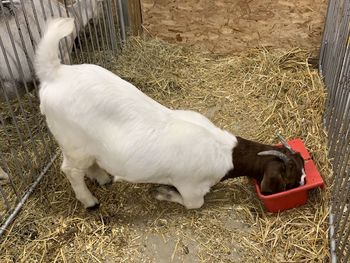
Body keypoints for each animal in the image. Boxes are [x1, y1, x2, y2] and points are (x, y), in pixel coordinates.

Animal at [34, 18, 304, 210]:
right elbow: (194, 203)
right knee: (71, 170)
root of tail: (55, 73)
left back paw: (103, 178)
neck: (224, 150)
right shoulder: (192, 188)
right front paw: (162, 192)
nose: (303, 182)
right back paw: (90, 201)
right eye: (291, 178)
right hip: (74, 144)